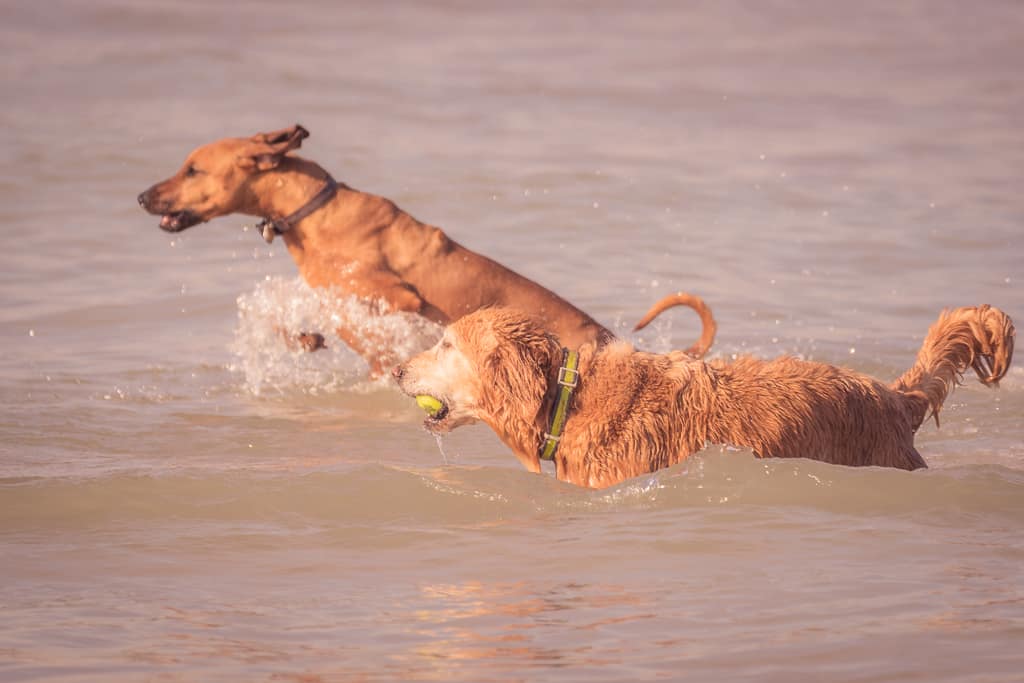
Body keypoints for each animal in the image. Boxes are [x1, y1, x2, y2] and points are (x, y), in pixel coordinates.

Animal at [140, 125, 716, 376]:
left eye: (193, 169)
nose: (142, 197)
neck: (313, 212)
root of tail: (622, 347)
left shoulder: (395, 297)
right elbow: (290, 316)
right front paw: (305, 339)